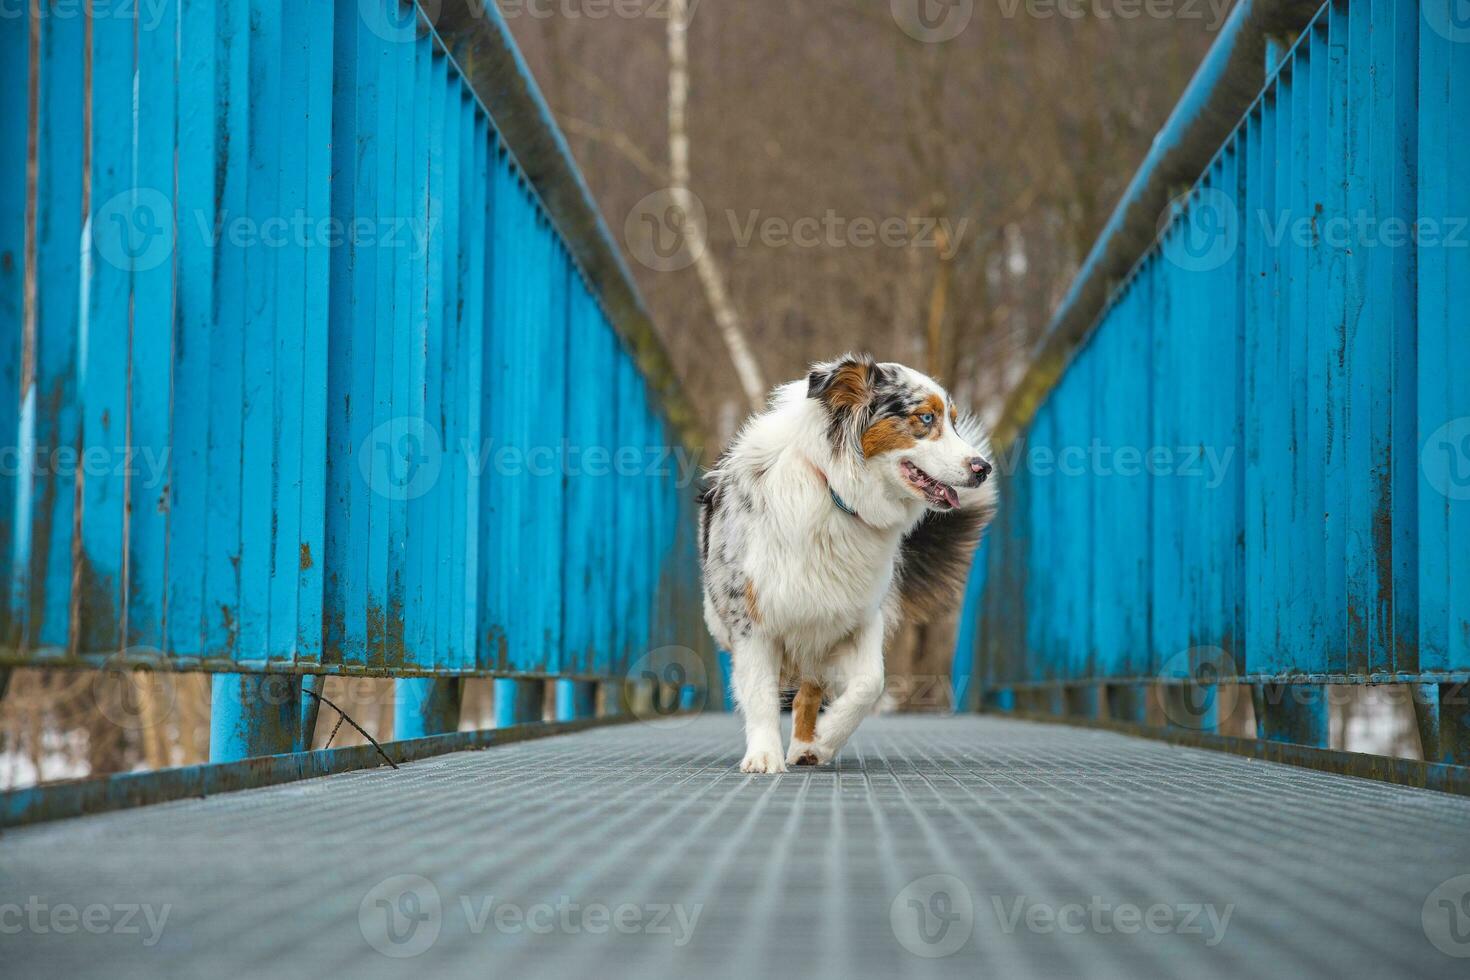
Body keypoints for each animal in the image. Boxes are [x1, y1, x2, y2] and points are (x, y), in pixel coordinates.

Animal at [693, 352, 993, 775]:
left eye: (953, 420)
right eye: (926, 417)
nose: (983, 468)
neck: (834, 492)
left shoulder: (856, 614)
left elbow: (870, 683)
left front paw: (825, 738)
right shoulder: (753, 618)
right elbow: (761, 692)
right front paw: (764, 756)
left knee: (809, 692)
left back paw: (806, 746)